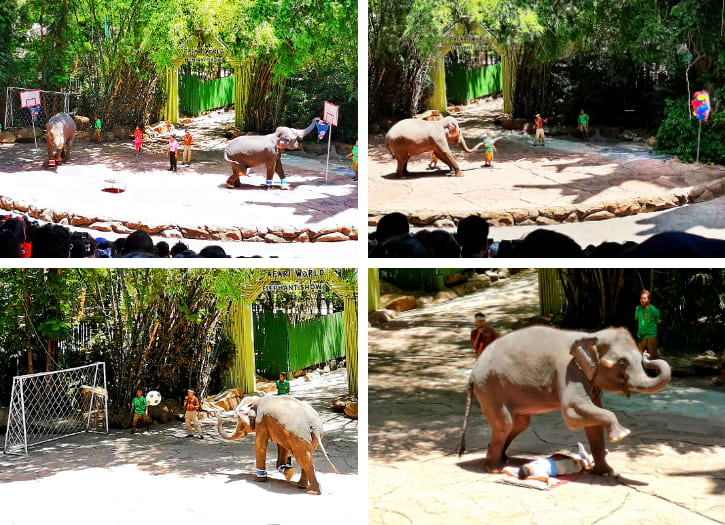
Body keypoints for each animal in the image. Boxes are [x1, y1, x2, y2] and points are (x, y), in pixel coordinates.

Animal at [460, 324, 672, 474]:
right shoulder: (568, 371)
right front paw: (622, 435)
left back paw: (503, 459)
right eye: (622, 362)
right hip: (490, 388)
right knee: (506, 424)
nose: (648, 355)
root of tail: (473, 371)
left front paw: (606, 473)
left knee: (519, 423)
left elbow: (594, 422)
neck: (589, 335)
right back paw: (494, 469)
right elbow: (572, 412)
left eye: (639, 357)